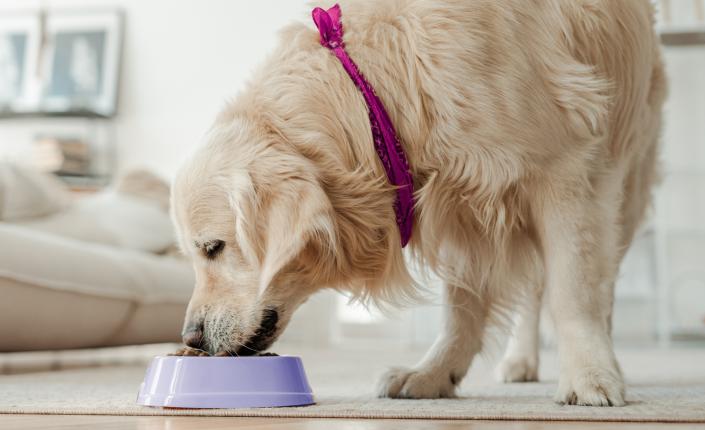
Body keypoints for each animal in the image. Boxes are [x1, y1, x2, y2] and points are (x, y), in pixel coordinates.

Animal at [170, 0, 664, 406]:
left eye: (213, 248)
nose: (190, 337)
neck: (375, 94)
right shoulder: (464, 203)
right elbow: (461, 309)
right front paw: (434, 374)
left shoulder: (565, 170)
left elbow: (573, 292)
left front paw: (588, 376)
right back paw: (520, 361)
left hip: (626, 181)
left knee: (596, 283)